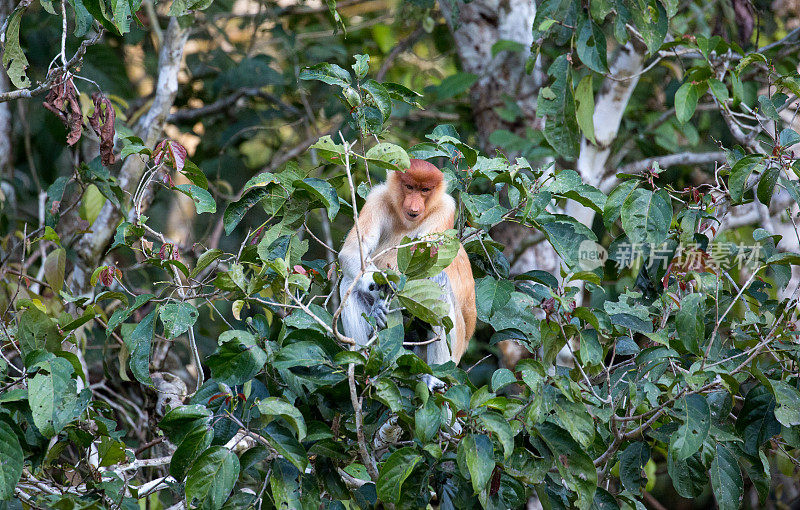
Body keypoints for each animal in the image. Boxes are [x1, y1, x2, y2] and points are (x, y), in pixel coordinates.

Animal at [338, 159, 476, 386]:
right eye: (409, 187)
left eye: (425, 190)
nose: (414, 206)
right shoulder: (377, 199)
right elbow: (352, 252)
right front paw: (380, 301)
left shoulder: (445, 209)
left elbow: (428, 264)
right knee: (349, 285)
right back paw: (362, 363)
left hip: (453, 349)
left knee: (439, 281)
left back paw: (432, 376)